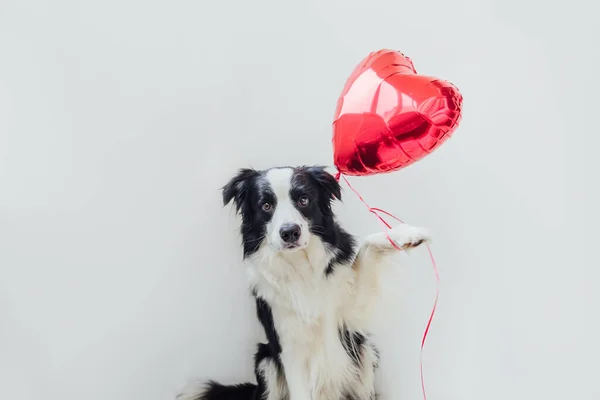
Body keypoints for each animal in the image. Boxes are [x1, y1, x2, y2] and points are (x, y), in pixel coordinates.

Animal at [179, 166, 432, 400]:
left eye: (304, 200)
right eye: (266, 206)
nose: (290, 232)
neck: (300, 265)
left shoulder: (348, 312)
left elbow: (368, 244)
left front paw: (405, 235)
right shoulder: (289, 348)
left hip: (365, 350)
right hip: (265, 361)